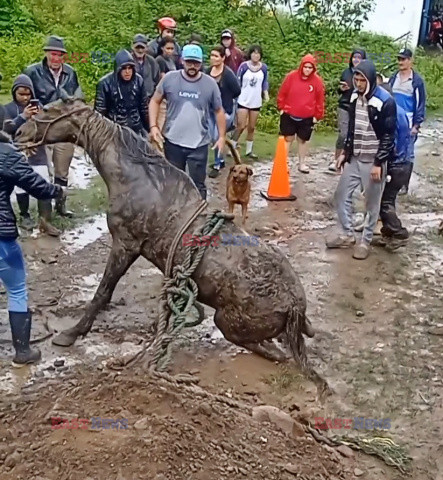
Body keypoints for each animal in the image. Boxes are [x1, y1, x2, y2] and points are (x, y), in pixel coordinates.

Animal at [16, 99, 316, 366]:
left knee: (275, 354)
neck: (138, 180)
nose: (17, 132)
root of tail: (294, 305)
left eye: (46, 109)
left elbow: (103, 292)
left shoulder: (125, 244)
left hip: (225, 322)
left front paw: (72, 332)